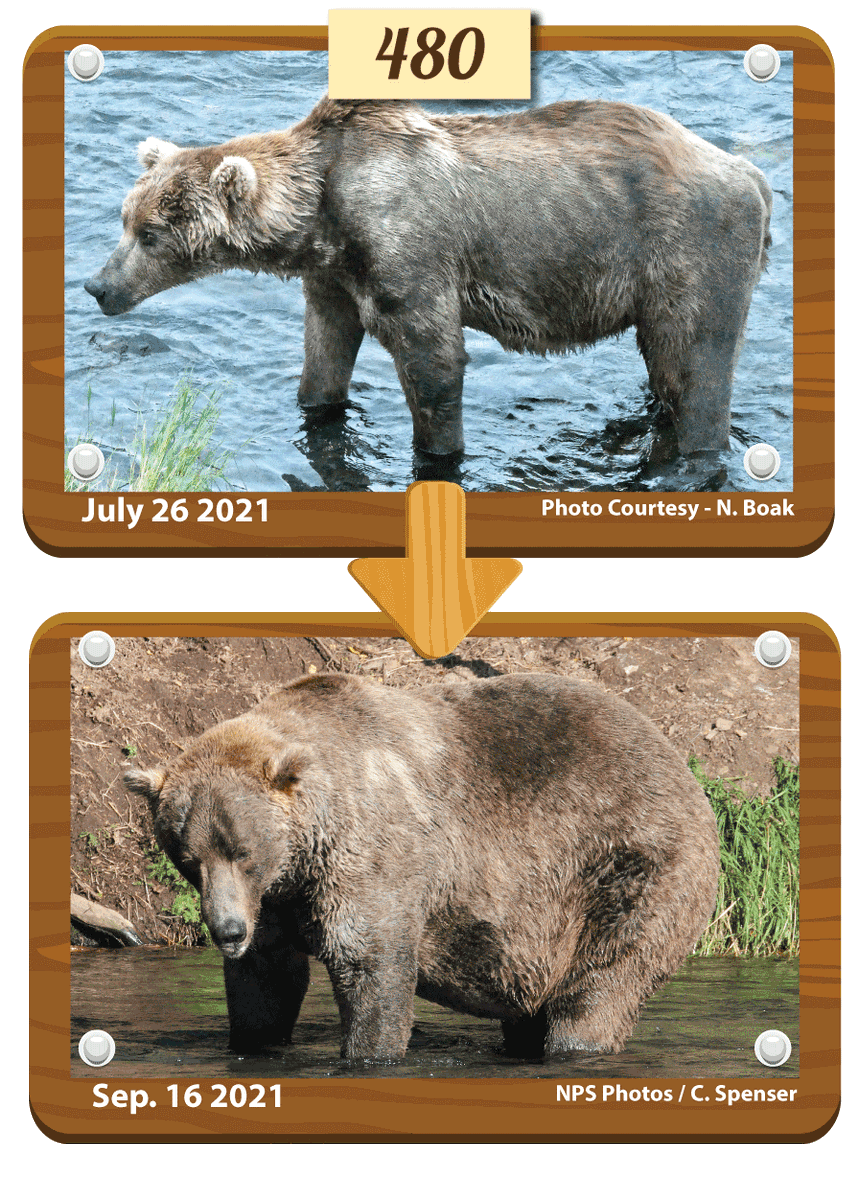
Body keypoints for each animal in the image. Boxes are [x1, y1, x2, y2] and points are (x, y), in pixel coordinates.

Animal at [85, 96, 772, 460]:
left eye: (151, 233)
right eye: (125, 218)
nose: (97, 286)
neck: (325, 216)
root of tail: (748, 171)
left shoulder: (408, 250)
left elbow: (434, 361)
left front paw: (439, 451)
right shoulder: (334, 278)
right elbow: (326, 352)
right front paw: (316, 405)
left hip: (685, 252)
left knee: (697, 365)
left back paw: (697, 447)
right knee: (666, 367)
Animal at [123, 672, 720, 1061]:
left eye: (243, 851)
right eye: (189, 858)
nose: (227, 931)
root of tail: (680, 763)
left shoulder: (372, 857)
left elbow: (371, 963)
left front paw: (369, 1052)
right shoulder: (277, 900)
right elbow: (266, 982)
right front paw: (254, 1038)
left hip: (627, 866)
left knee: (602, 983)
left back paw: (576, 1043)